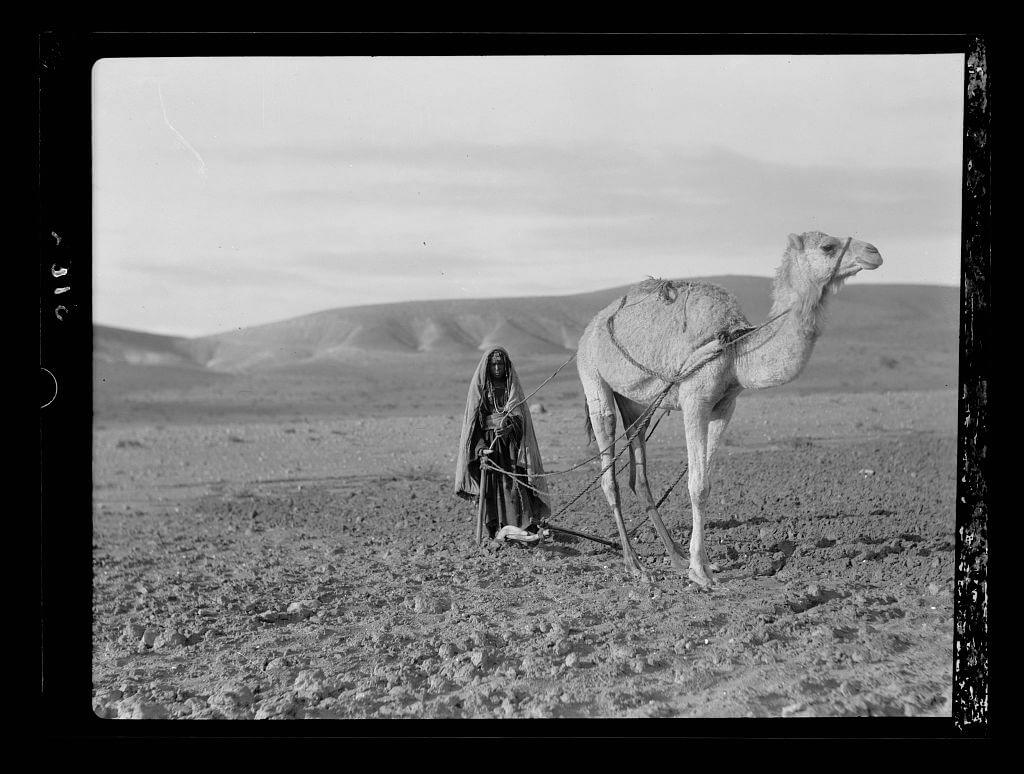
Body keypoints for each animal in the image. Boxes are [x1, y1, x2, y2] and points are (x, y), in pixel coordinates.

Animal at [577, 229, 880, 585]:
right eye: (827, 247)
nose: (874, 252)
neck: (735, 349)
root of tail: (590, 329)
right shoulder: (694, 399)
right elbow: (696, 485)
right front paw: (700, 573)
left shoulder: (724, 406)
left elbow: (706, 483)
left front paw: (701, 564)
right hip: (594, 380)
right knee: (608, 476)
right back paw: (635, 564)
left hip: (638, 403)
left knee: (639, 474)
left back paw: (674, 557)